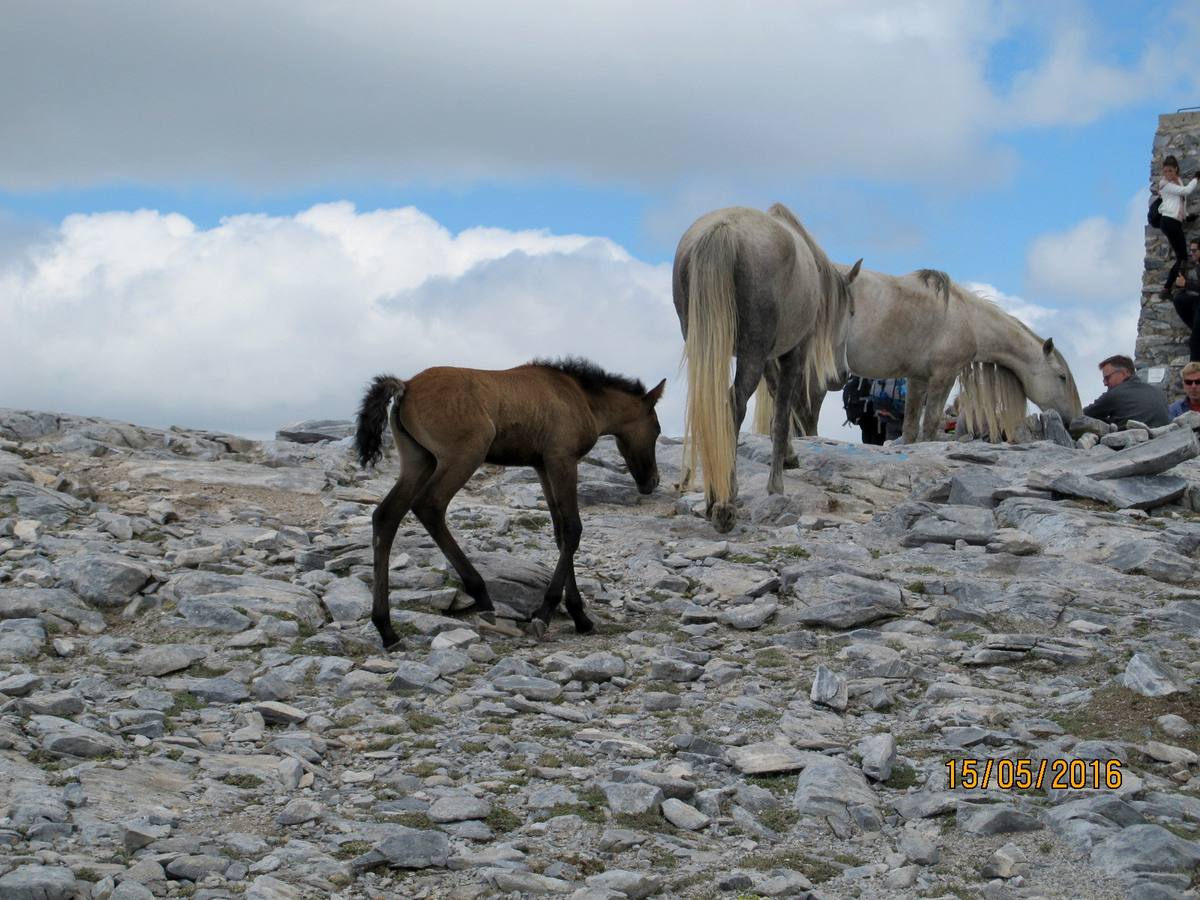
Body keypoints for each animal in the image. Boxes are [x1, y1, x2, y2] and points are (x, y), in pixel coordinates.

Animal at [352, 360, 667, 648]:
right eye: (656, 429)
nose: (652, 481)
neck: (582, 398)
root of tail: (406, 385)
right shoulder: (562, 459)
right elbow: (573, 530)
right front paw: (545, 614)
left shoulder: (542, 466)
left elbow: (560, 533)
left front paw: (580, 617)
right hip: (465, 453)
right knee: (429, 506)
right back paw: (482, 598)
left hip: (419, 459)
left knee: (386, 516)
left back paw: (387, 630)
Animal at [672, 202, 859, 535]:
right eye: (850, 312)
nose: (843, 376)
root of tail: (721, 231)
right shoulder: (792, 353)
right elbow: (782, 415)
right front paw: (776, 486)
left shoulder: (771, 356)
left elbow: (773, 398)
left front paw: (788, 457)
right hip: (751, 352)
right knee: (733, 404)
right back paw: (724, 502)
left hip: (703, 343)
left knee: (709, 404)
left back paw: (712, 496)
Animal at [758, 267, 1089, 444]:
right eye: (1062, 376)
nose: (1074, 419)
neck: (967, 318)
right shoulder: (944, 375)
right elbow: (929, 424)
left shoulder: (917, 378)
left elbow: (910, 426)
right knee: (804, 414)